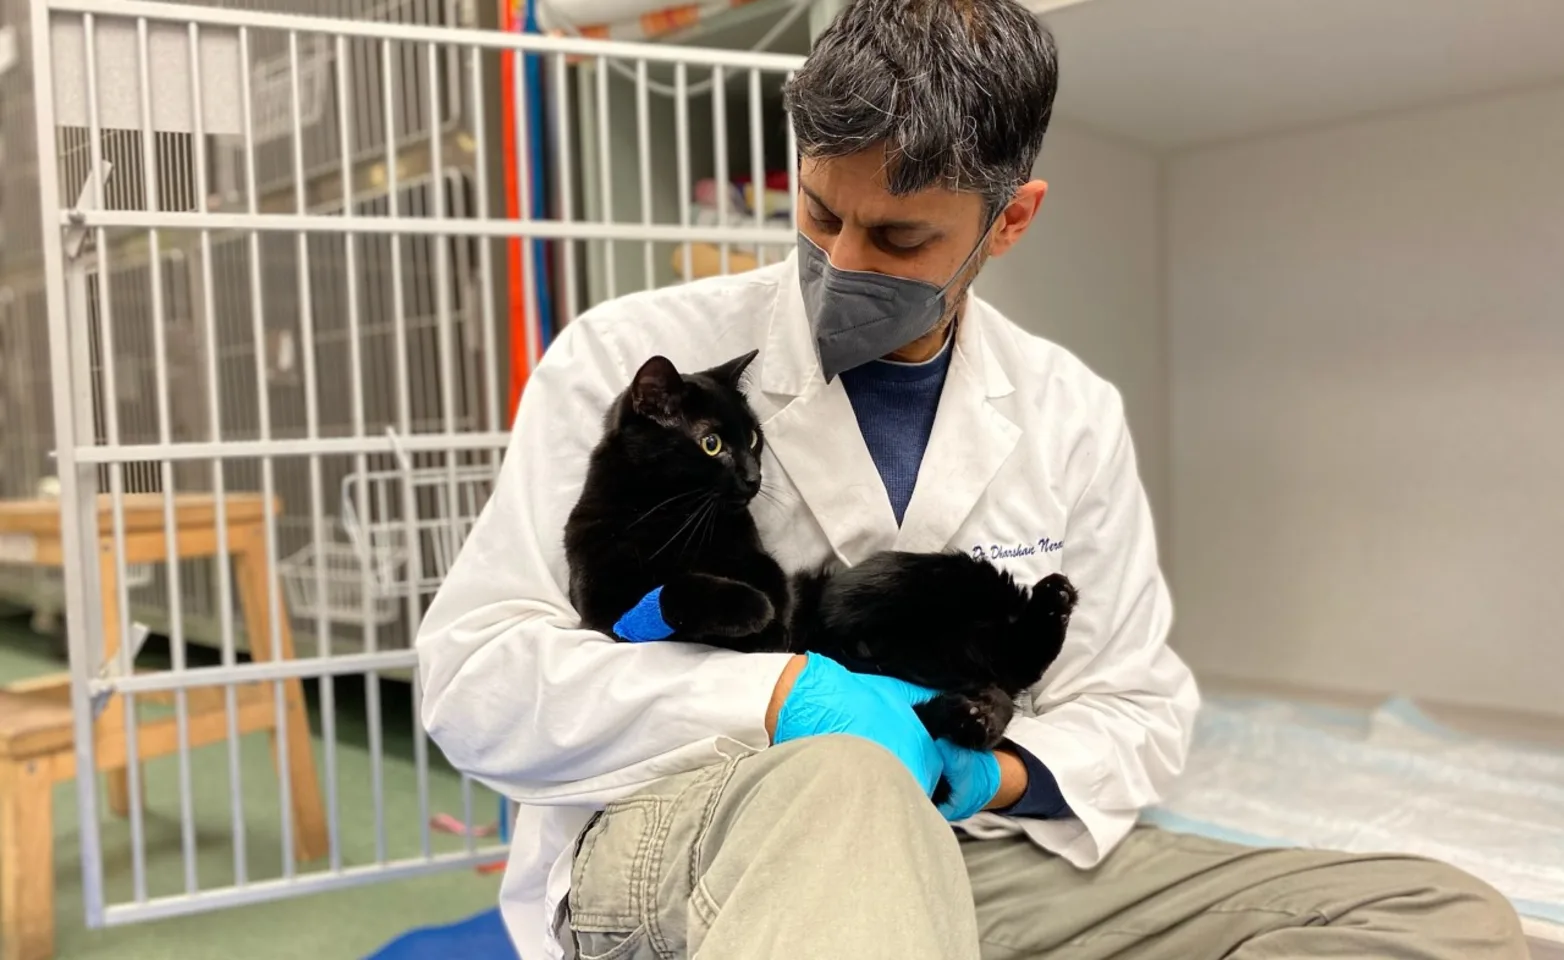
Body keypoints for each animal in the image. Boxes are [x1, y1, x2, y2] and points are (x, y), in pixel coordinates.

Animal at [563, 353, 1076, 759]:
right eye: (712, 444)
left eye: (754, 439)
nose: (753, 477)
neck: (677, 521)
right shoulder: (605, 612)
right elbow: (674, 591)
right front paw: (750, 608)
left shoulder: (763, 566)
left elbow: (767, 592)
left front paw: (767, 611)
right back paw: (972, 712)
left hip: (906, 592)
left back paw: (1051, 600)